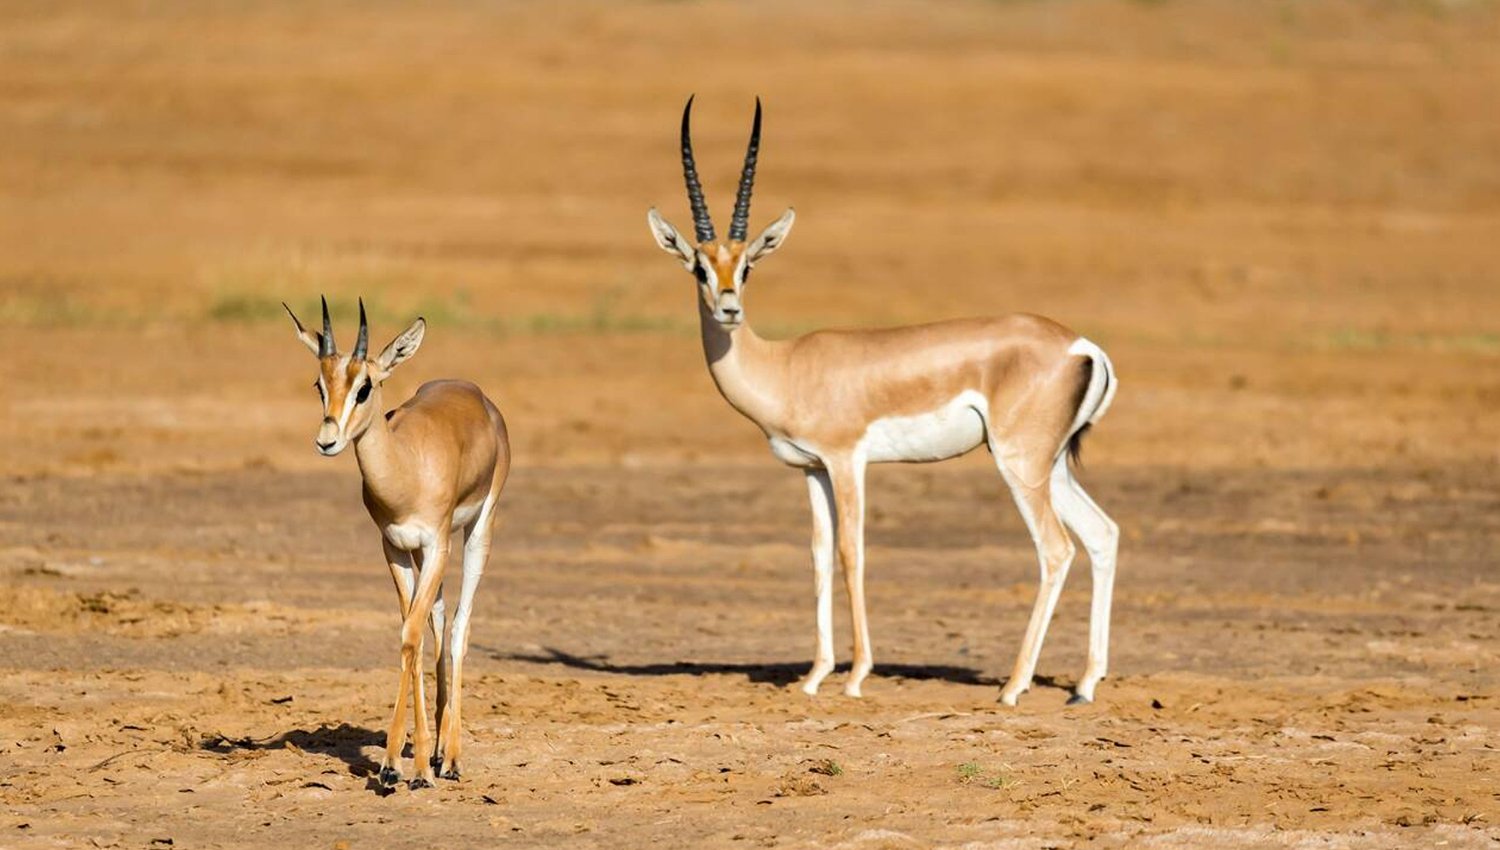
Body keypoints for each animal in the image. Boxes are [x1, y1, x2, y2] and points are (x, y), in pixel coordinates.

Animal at [283, 297, 510, 787]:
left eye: (364, 387)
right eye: (319, 383)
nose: (326, 440)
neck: (406, 468)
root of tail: (474, 393)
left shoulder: (437, 544)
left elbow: (411, 635)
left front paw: (404, 767)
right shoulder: (394, 548)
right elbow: (412, 637)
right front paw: (407, 763)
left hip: (477, 533)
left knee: (460, 627)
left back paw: (453, 758)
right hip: (427, 558)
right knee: (438, 622)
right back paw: (440, 751)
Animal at [646, 98, 1119, 705]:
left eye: (746, 265)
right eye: (699, 267)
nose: (729, 309)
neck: (785, 367)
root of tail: (1080, 345)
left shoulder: (848, 461)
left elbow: (853, 553)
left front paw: (854, 677)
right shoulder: (812, 470)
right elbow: (820, 555)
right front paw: (814, 676)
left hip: (1019, 464)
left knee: (1056, 549)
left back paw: (1013, 687)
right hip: (1048, 464)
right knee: (1102, 534)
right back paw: (1083, 685)